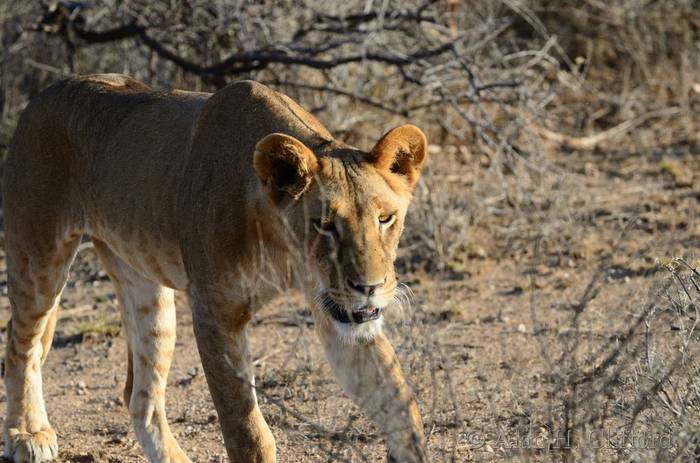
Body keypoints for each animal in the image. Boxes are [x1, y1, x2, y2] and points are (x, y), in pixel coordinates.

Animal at [3, 74, 428, 462]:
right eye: (324, 224)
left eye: (386, 218)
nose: (369, 287)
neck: (281, 246)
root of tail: (44, 94)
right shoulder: (215, 314)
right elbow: (248, 433)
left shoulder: (335, 310)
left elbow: (400, 404)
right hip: (39, 255)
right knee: (21, 346)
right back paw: (28, 434)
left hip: (147, 290)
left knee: (140, 397)